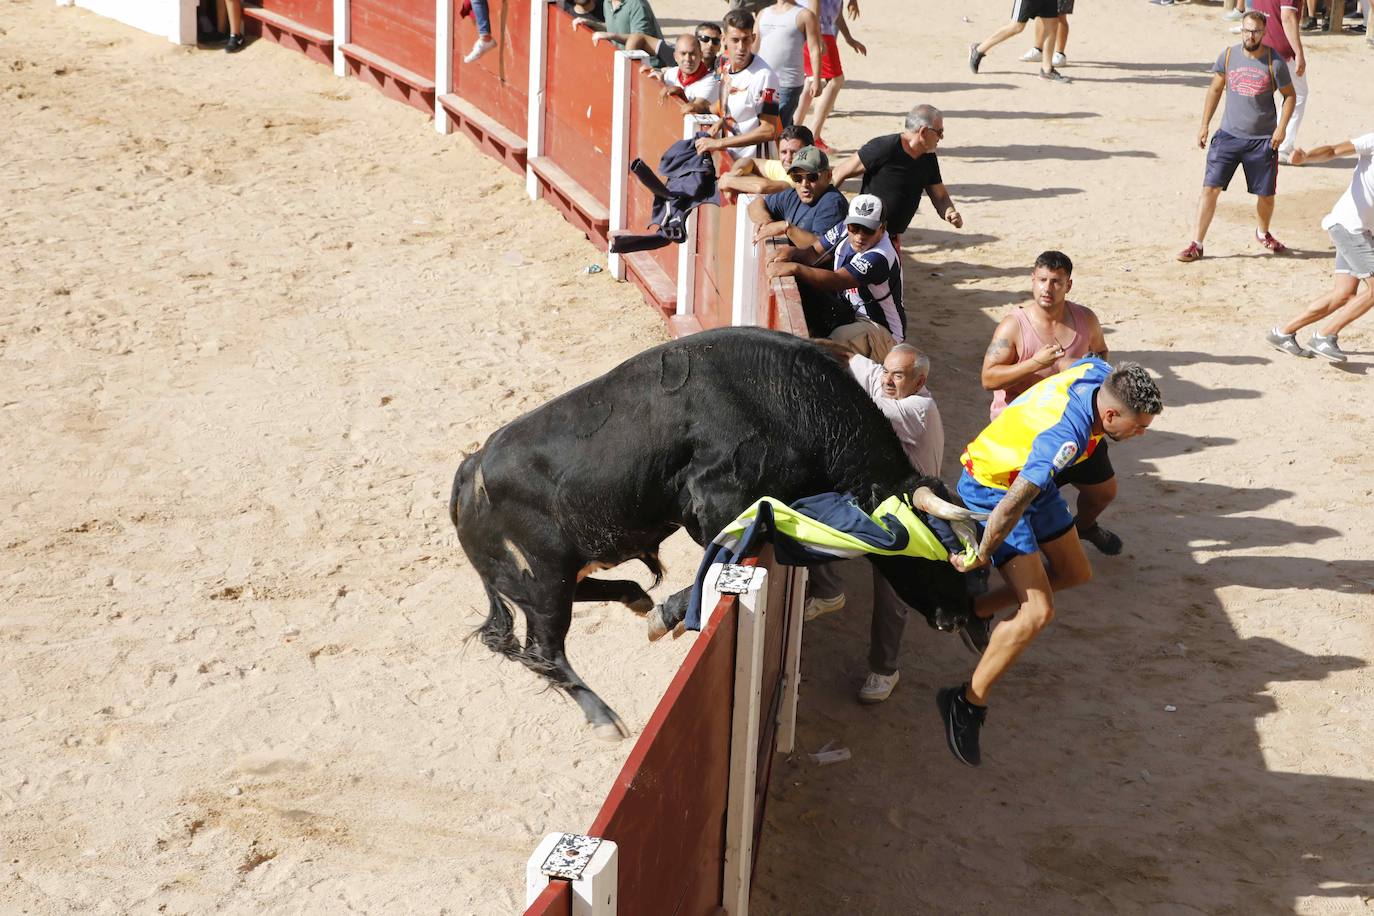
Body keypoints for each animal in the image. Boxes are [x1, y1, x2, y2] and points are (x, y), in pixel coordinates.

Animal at [450, 325, 978, 741]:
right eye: (942, 549)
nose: (958, 617)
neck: (793, 401)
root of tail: (471, 470)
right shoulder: (717, 503)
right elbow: (723, 559)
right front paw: (666, 616)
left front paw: (658, 611)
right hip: (543, 582)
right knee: (544, 649)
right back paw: (606, 719)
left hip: (548, 577)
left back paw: (636, 596)